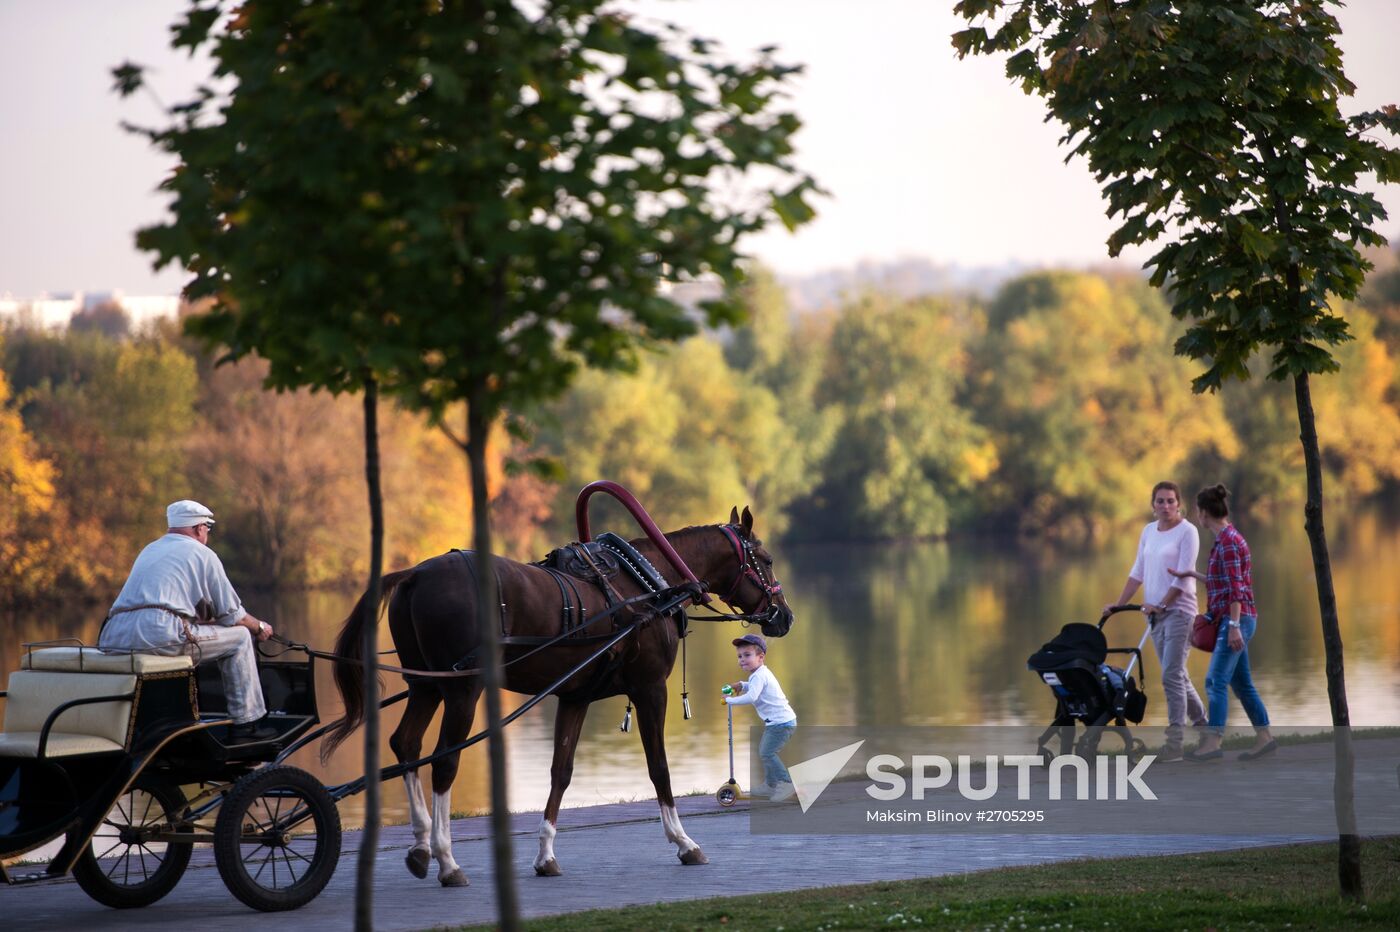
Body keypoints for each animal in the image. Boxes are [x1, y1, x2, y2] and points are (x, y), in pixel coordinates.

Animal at [320, 503, 795, 884]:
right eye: (767, 559)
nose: (784, 615)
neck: (645, 585)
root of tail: (415, 573)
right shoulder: (650, 690)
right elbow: (659, 768)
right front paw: (683, 841)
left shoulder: (574, 698)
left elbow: (560, 772)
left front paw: (546, 854)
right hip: (461, 690)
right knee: (443, 761)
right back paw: (446, 860)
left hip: (425, 686)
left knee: (406, 745)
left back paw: (420, 847)